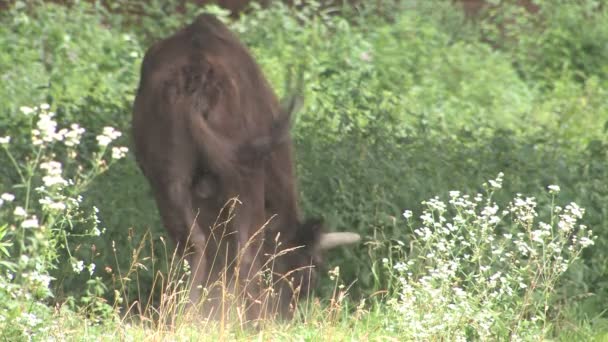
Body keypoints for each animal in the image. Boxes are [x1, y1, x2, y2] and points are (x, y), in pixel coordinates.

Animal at [132, 13, 360, 322]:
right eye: (309, 274)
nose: (286, 315)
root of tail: (197, 74)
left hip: (169, 183)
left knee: (195, 247)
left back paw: (188, 316)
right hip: (243, 180)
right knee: (245, 252)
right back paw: (251, 320)